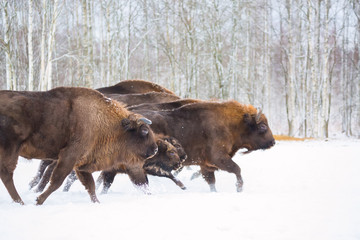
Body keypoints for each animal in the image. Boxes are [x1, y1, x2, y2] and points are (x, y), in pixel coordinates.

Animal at [0, 87, 158, 203]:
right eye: (144, 130)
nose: (155, 149)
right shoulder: (69, 156)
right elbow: (57, 180)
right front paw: (38, 200)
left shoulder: (81, 165)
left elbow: (90, 186)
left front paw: (97, 203)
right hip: (11, 149)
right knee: (7, 174)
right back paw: (20, 201)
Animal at [132, 100, 276, 192]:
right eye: (262, 126)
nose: (273, 142)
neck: (233, 124)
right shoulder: (218, 158)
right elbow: (237, 169)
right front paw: (239, 188)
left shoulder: (206, 164)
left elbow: (211, 181)